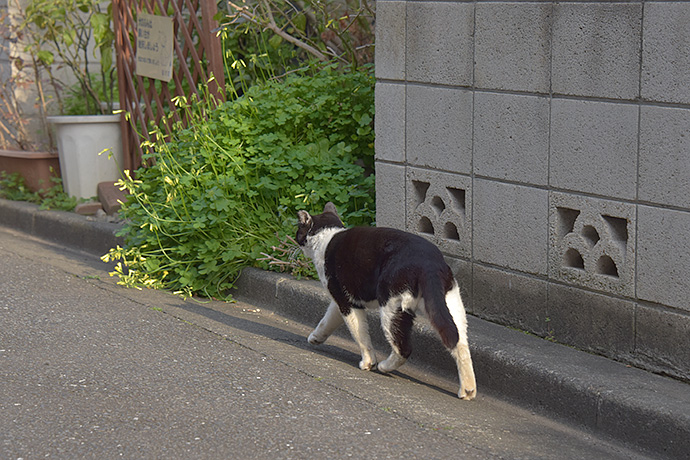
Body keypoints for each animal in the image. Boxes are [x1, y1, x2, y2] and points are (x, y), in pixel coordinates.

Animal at [292, 201, 476, 398]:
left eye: (298, 230)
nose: (295, 240)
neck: (326, 236)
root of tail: (430, 263)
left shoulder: (345, 300)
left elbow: (360, 334)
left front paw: (368, 362)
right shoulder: (342, 300)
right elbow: (327, 320)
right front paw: (315, 338)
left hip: (391, 306)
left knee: (404, 347)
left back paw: (384, 366)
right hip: (450, 305)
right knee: (459, 341)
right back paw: (468, 390)